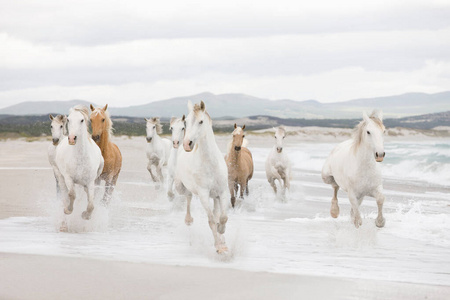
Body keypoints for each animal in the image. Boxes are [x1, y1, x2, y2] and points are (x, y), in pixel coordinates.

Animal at [176, 101, 230, 253]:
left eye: (201, 121)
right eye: (186, 122)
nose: (187, 144)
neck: (211, 163)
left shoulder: (222, 192)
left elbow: (223, 217)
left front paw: (222, 234)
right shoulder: (203, 194)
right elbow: (211, 220)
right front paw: (219, 247)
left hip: (216, 196)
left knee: (217, 212)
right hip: (181, 187)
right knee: (188, 196)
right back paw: (188, 220)